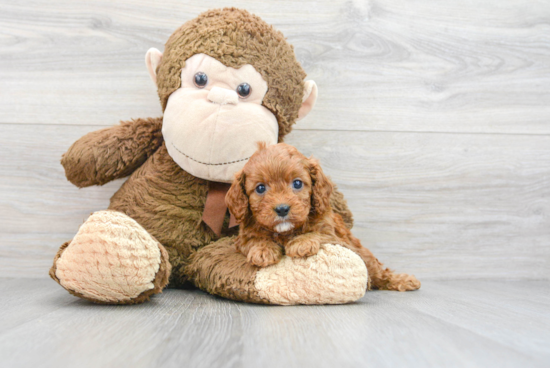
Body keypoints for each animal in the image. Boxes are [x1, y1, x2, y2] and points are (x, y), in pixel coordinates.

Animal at [227, 143, 422, 290]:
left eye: (297, 183)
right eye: (260, 188)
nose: (282, 209)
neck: (285, 232)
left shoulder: (332, 234)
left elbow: (318, 233)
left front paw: (302, 242)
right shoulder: (243, 238)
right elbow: (253, 240)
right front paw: (263, 250)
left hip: (364, 254)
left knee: (380, 273)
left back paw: (404, 280)